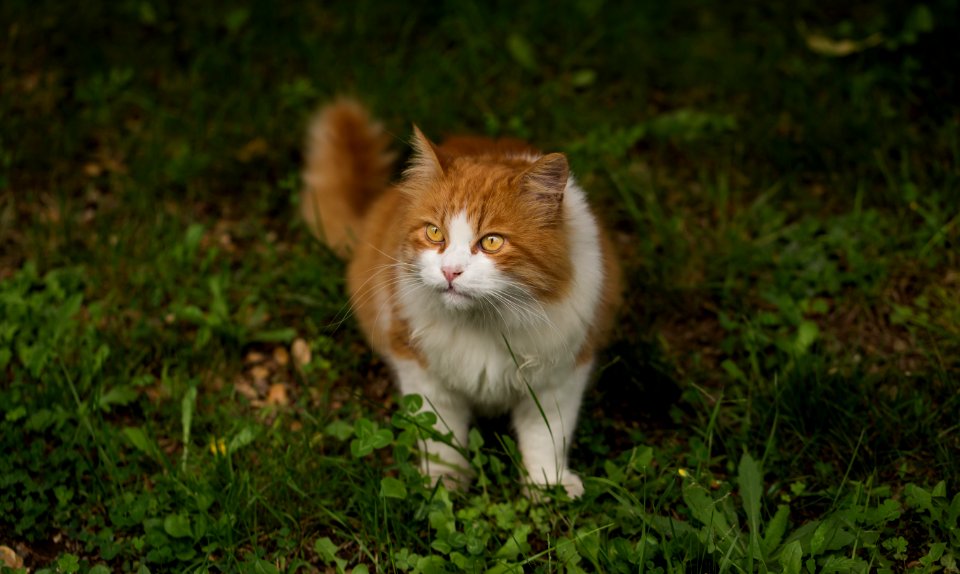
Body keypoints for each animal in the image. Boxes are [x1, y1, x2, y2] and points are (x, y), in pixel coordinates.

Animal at [300, 100, 624, 500]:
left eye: (492, 242)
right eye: (434, 233)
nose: (450, 272)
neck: (485, 323)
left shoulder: (560, 376)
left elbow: (546, 438)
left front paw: (548, 486)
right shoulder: (422, 370)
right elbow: (442, 438)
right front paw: (445, 483)